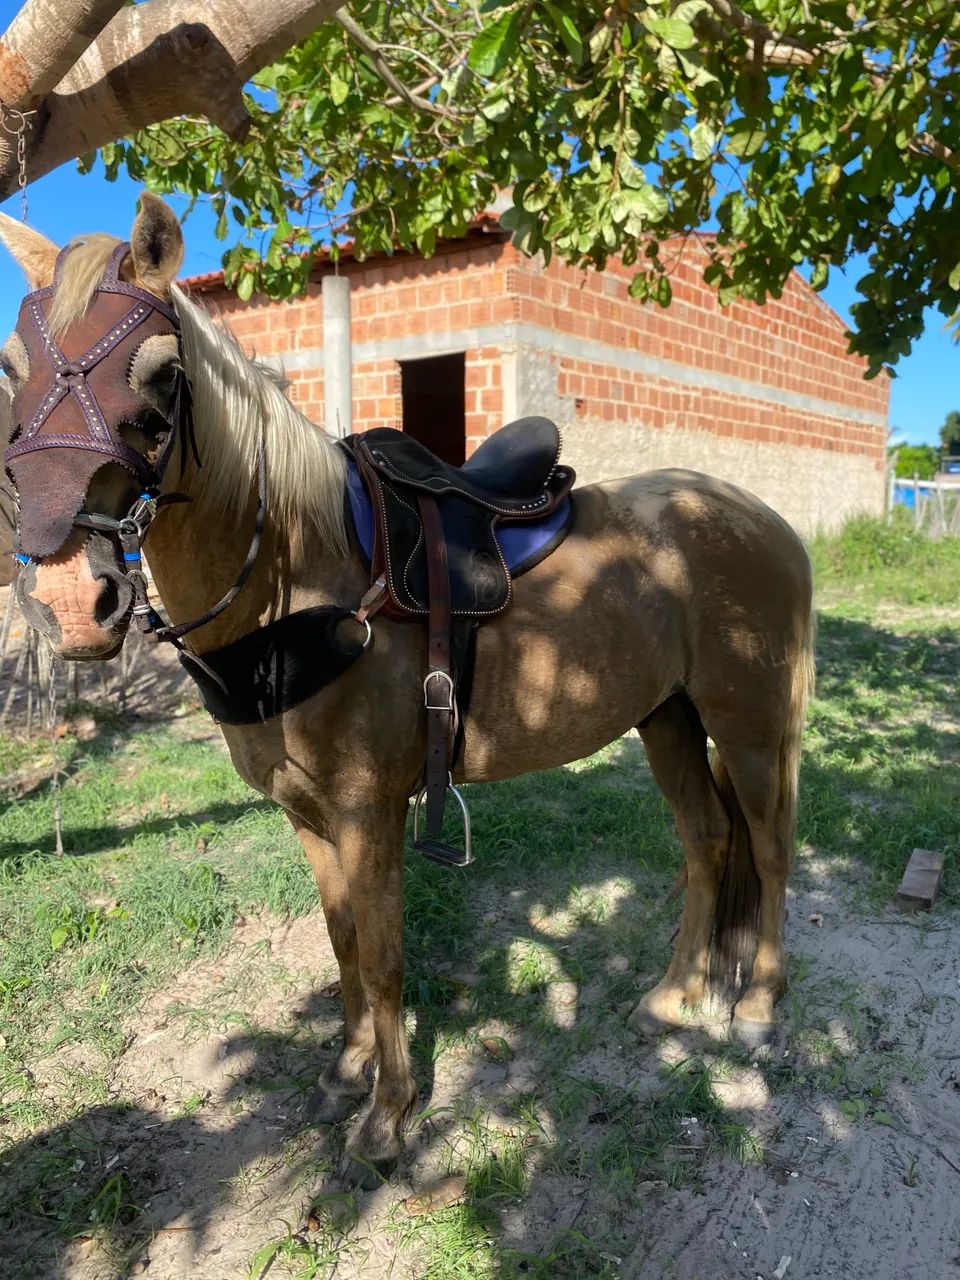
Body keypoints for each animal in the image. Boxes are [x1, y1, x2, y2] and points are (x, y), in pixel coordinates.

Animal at [0, 195, 814, 1185]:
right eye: (11, 369)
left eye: (161, 376)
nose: (68, 602)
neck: (298, 577)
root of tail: (762, 519)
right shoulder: (307, 815)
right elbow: (344, 943)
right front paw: (346, 1075)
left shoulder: (367, 810)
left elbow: (384, 956)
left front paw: (387, 1117)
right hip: (666, 718)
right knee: (707, 843)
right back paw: (674, 995)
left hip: (749, 722)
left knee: (768, 850)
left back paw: (759, 1005)